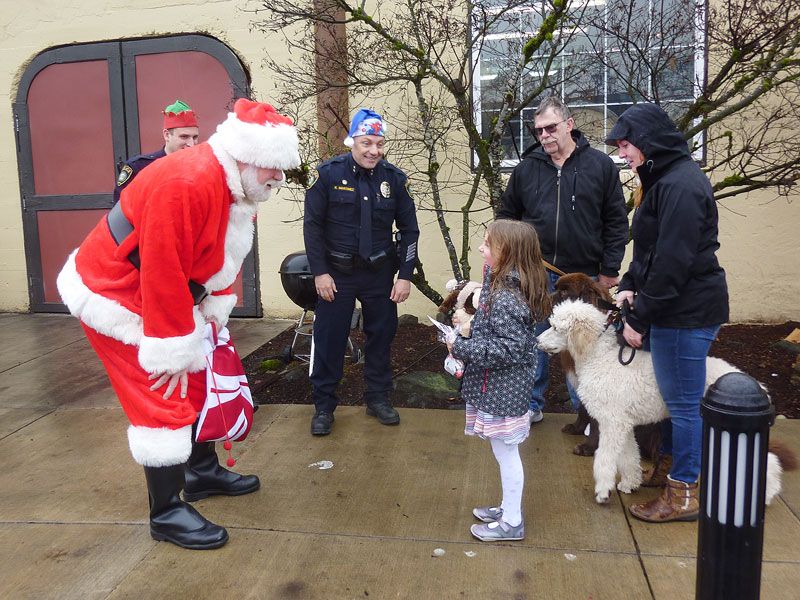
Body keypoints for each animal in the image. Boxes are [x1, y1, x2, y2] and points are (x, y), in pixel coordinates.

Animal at [552, 274, 664, 460]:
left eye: (565, 292)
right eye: (557, 288)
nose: (549, 295)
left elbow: (596, 422)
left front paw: (588, 447)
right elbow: (583, 410)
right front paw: (577, 428)